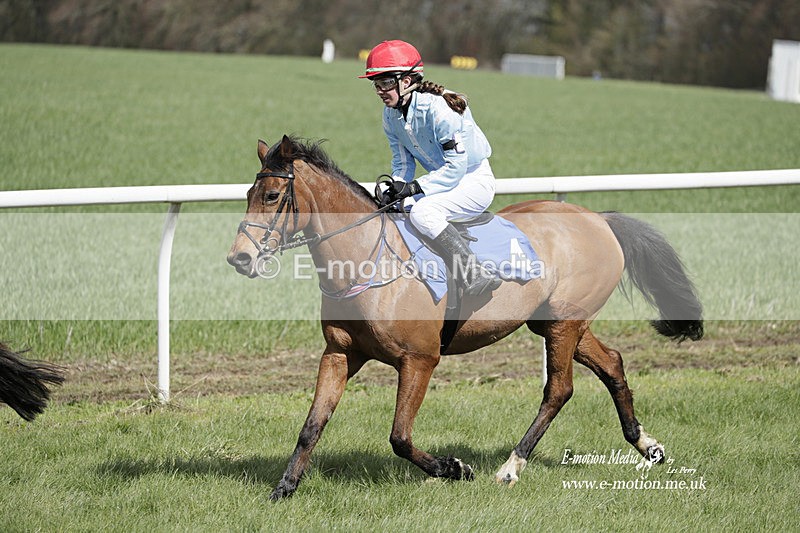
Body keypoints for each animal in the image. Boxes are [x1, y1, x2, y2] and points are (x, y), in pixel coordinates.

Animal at [227, 135, 703, 500]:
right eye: (248, 196)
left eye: (272, 196)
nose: (239, 258)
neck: (368, 262)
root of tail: (598, 219)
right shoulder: (340, 354)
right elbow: (311, 426)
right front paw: (284, 489)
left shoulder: (419, 360)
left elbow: (400, 437)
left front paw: (455, 468)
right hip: (559, 322)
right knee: (613, 364)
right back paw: (647, 445)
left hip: (564, 325)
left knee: (559, 390)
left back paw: (510, 467)